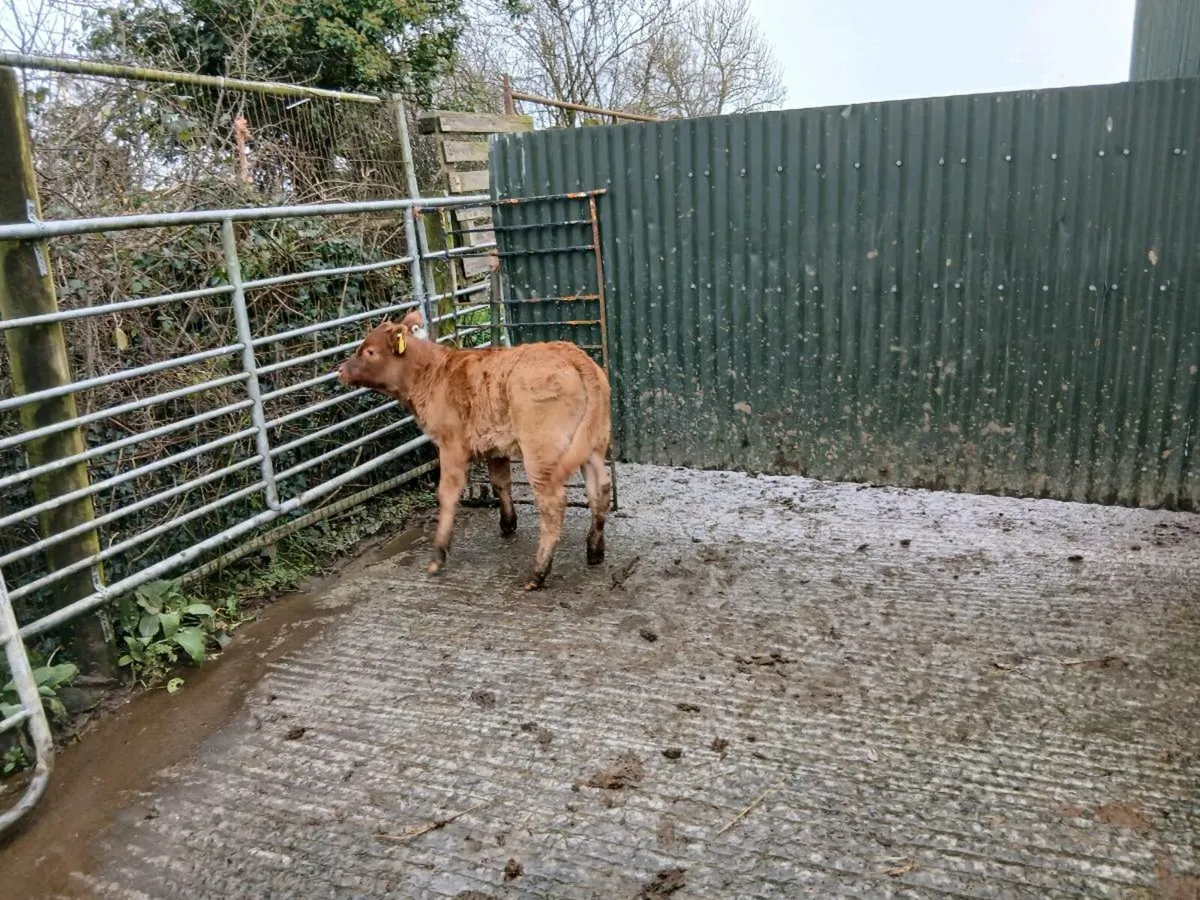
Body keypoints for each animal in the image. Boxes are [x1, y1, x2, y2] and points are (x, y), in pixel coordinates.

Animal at [337, 310, 612, 590]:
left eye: (370, 351)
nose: (340, 370)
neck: (432, 373)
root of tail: (572, 353)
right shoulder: (495, 445)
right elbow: (500, 482)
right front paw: (508, 523)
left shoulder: (451, 445)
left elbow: (447, 494)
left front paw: (438, 554)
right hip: (594, 443)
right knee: (600, 488)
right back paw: (594, 550)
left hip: (541, 450)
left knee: (553, 503)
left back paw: (538, 572)